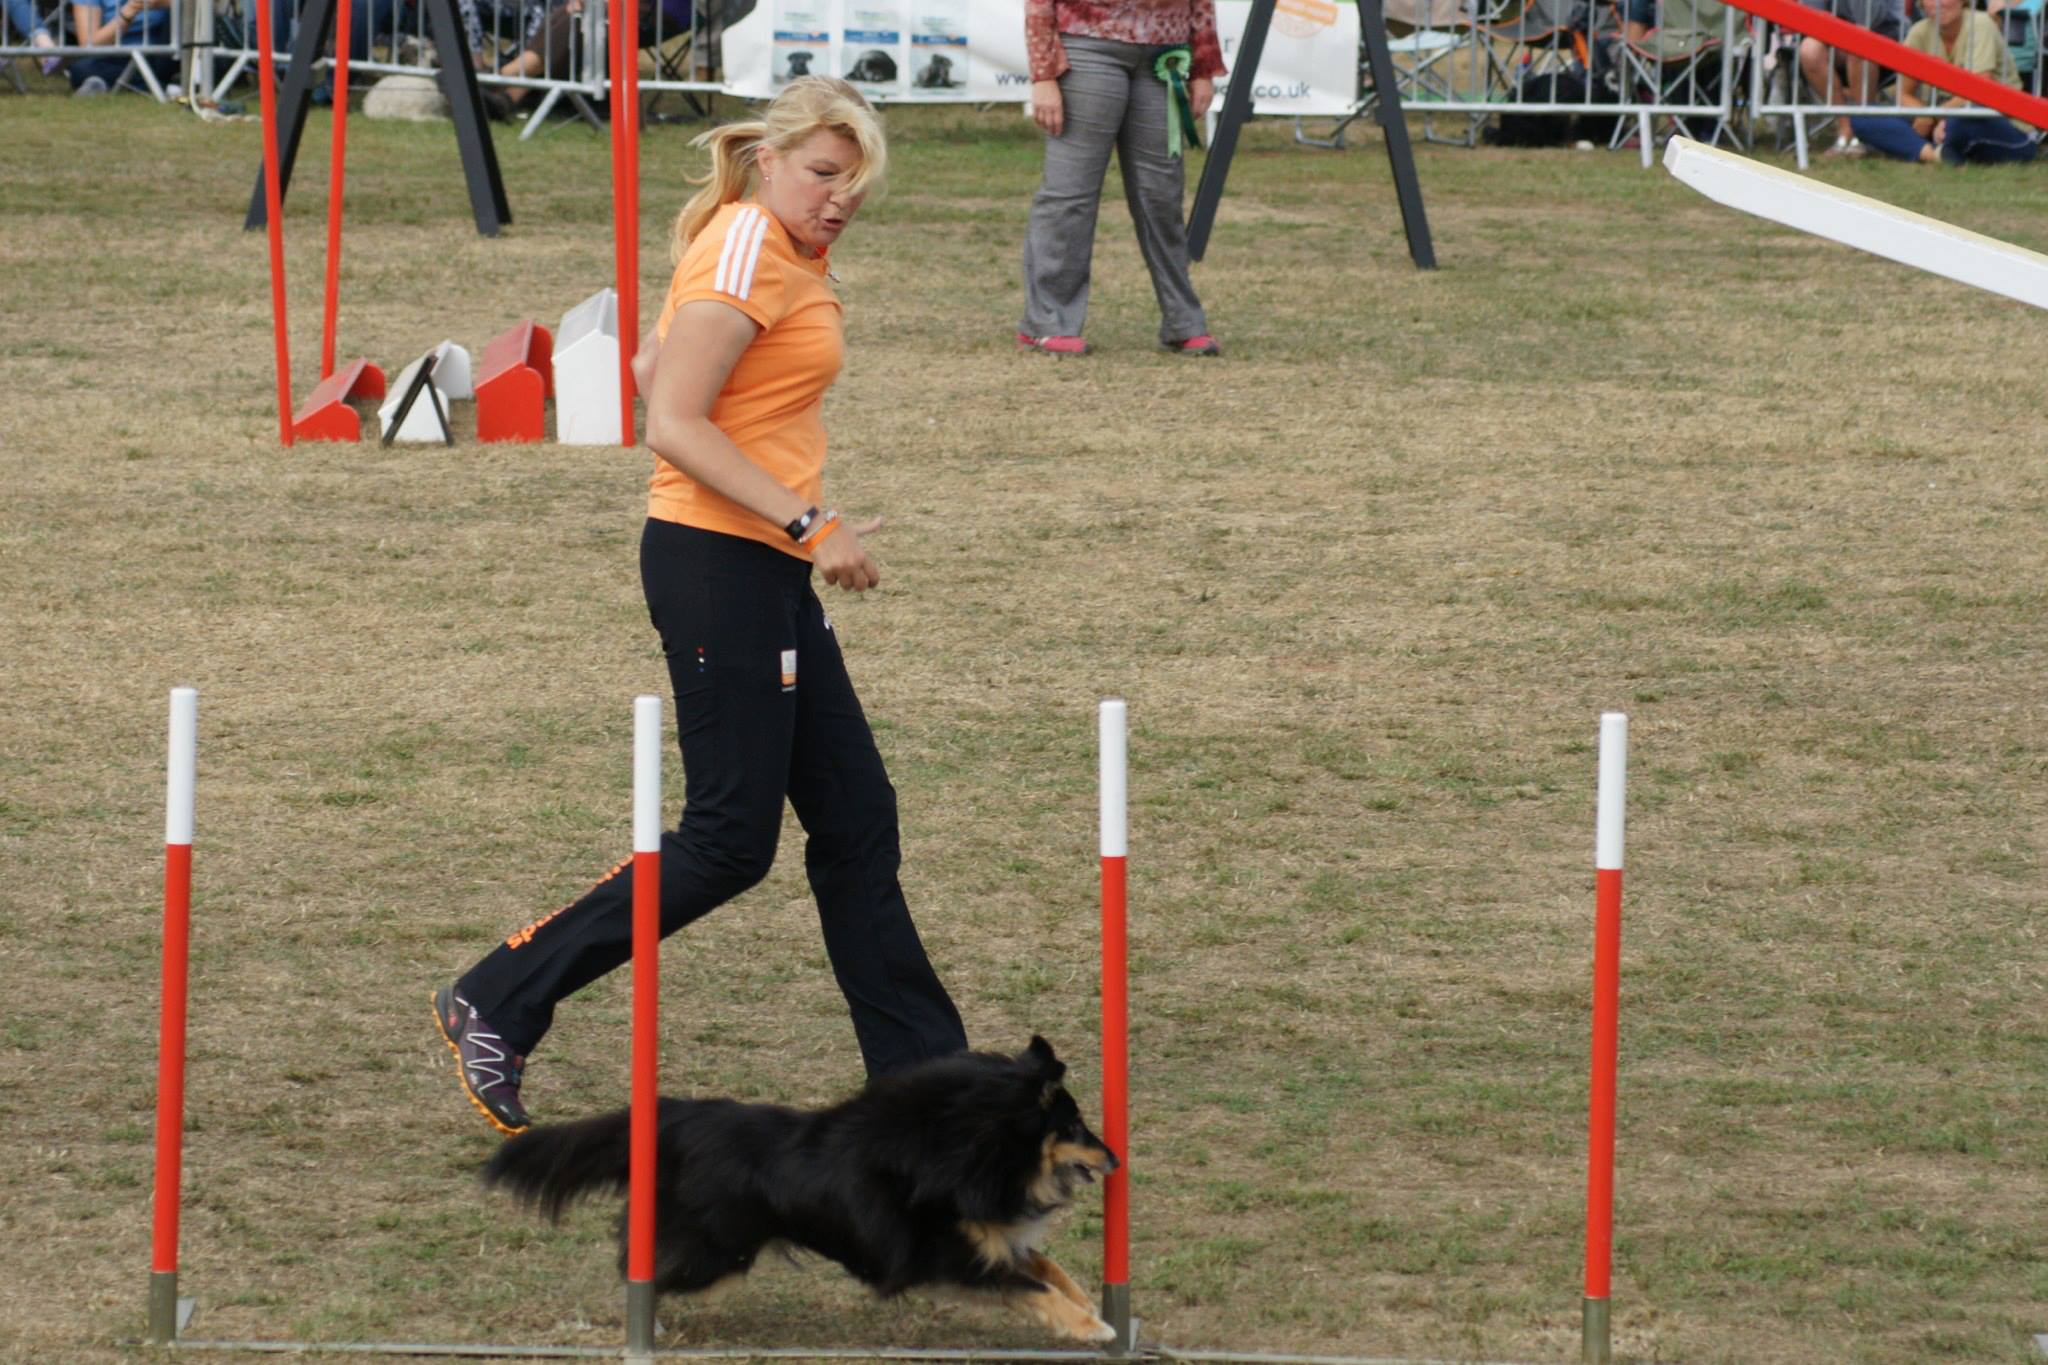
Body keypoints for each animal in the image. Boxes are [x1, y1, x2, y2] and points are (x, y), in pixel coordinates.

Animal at [479, 1039, 1122, 1342]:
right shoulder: (942, 1254)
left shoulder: (987, 1235)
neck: (967, 1143)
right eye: (1074, 1127)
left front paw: (1090, 1303)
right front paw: (1094, 1327)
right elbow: (1030, 1284)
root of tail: (685, 1116)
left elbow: (1045, 1264)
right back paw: (643, 1324)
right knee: (641, 1266)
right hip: (718, 1250)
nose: (1116, 1158)